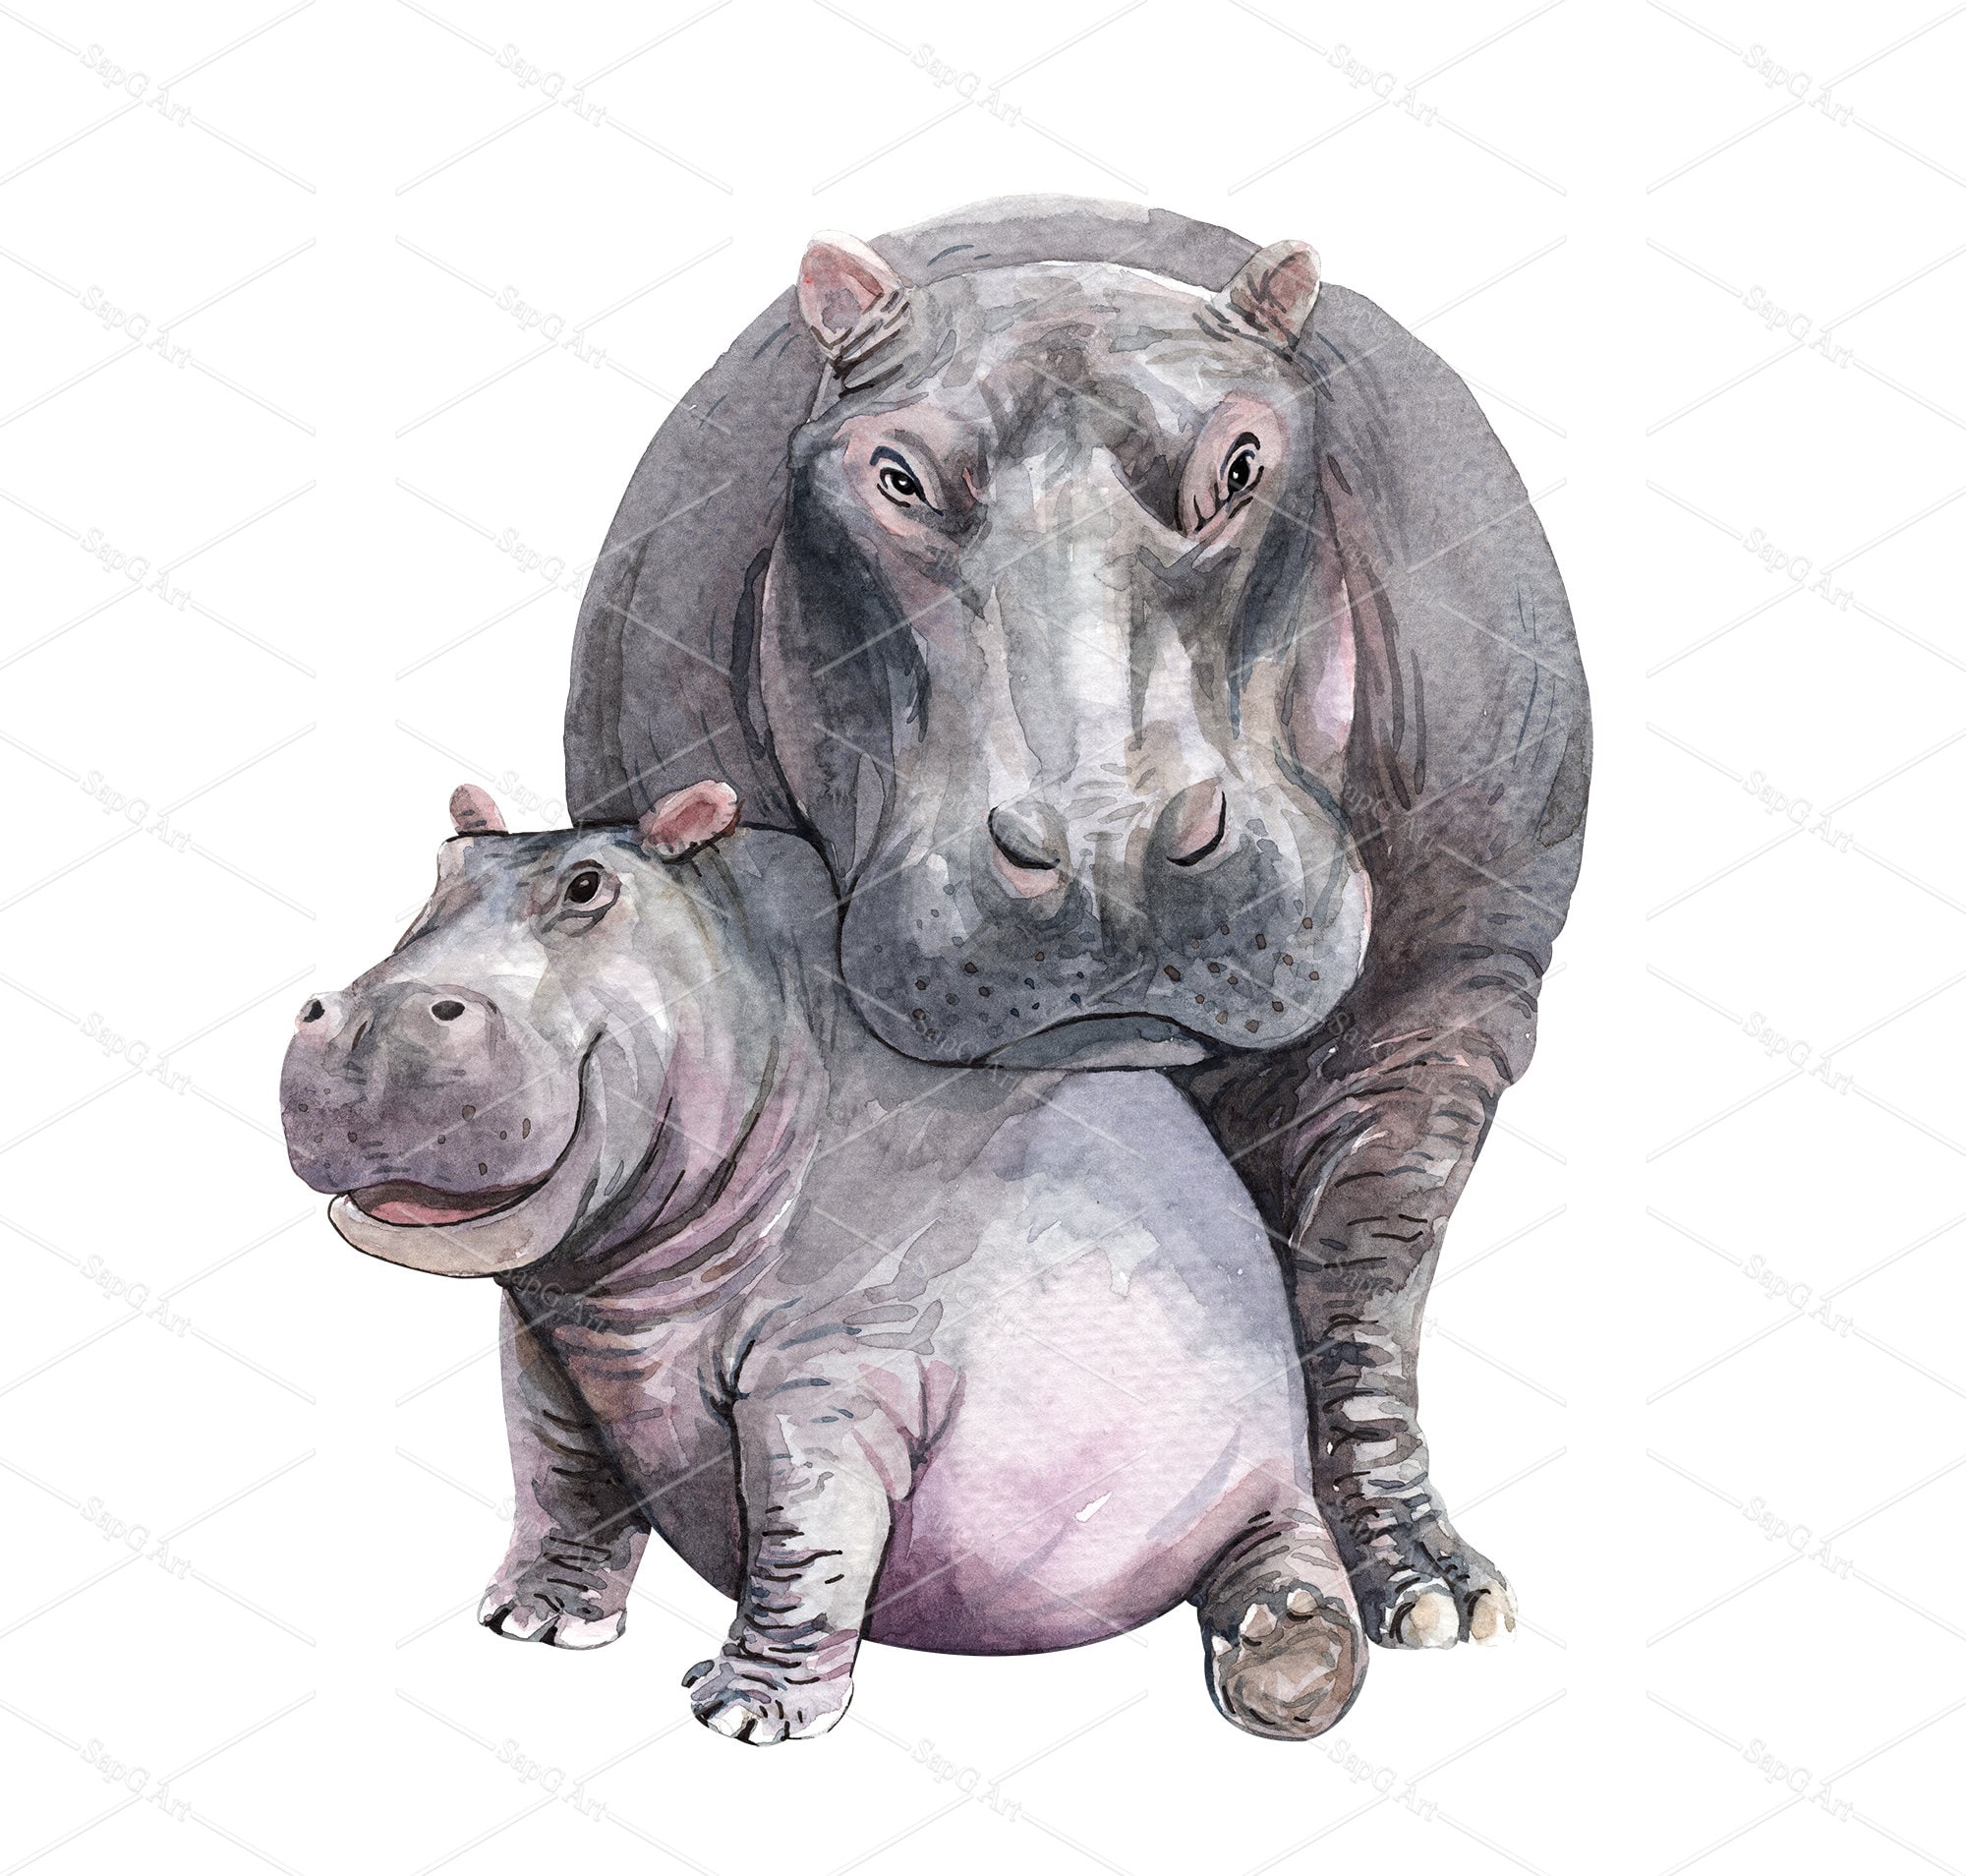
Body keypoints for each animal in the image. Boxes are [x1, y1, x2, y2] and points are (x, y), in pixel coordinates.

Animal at [281, 783, 1367, 1743]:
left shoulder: (837, 1373)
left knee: (1281, 1549)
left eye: (588, 887)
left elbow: (806, 1539)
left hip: (1257, 1468)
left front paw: (740, 1714)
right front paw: (534, 1621)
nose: (370, 1015)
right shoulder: (543, 1343)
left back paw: (1287, 1661)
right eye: (441, 867)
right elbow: (559, 1476)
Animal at [563, 197, 1590, 1651]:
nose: (1108, 847)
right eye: (895, 474)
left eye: (1243, 460)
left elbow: (1364, 1279)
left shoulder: (1452, 996)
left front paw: (1432, 1597)